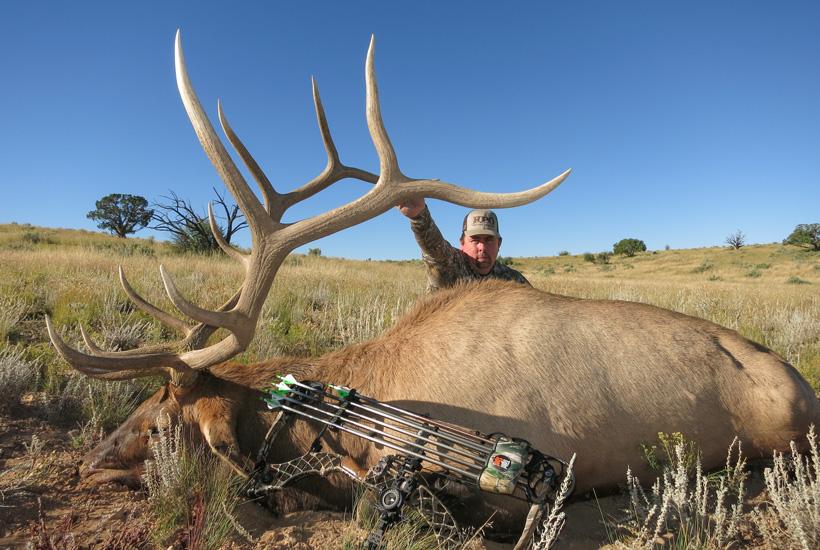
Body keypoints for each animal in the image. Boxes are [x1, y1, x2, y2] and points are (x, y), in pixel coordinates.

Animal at [47, 32, 820, 534]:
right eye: (141, 405)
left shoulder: (505, 492)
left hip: (782, 439)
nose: (84, 464)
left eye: (160, 420)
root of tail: (804, 385)